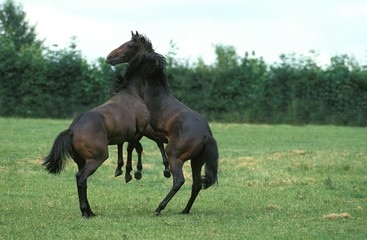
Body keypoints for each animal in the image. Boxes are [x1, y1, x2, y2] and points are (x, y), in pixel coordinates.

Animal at [43, 69, 168, 218]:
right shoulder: (144, 128)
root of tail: (72, 129)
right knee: (81, 178)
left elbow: (131, 147)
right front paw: (163, 169)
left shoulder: (127, 135)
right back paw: (85, 212)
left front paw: (127, 171)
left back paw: (90, 211)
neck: (132, 94)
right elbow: (155, 142)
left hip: (81, 161)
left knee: (82, 181)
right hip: (97, 159)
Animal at [107, 31, 221, 215]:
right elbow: (146, 144)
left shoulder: (143, 129)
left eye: (129, 45)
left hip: (176, 156)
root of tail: (206, 135)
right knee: (196, 185)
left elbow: (132, 145)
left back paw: (159, 208)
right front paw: (155, 169)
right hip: (196, 161)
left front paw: (129, 172)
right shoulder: (152, 132)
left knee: (179, 181)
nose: (109, 57)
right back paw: (184, 210)